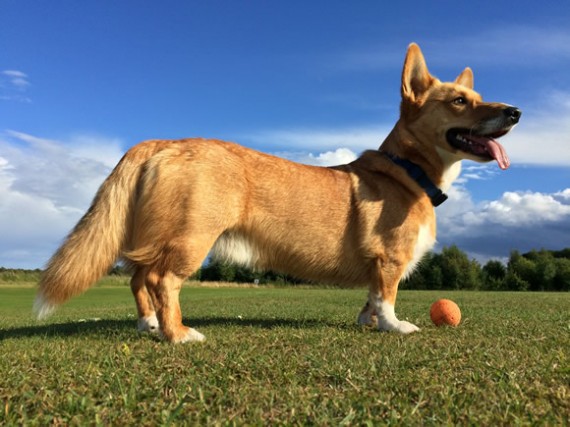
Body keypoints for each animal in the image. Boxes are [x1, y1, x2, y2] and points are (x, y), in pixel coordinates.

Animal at [33, 44, 516, 344]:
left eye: (478, 95)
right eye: (459, 101)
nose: (515, 111)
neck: (409, 169)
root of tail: (161, 143)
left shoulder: (378, 265)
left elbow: (370, 299)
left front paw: (368, 322)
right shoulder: (389, 259)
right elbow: (387, 296)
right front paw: (394, 327)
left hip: (160, 237)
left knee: (137, 279)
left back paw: (148, 325)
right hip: (191, 238)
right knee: (160, 281)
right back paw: (178, 334)